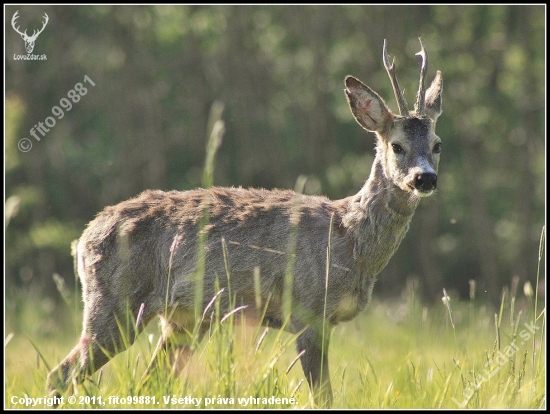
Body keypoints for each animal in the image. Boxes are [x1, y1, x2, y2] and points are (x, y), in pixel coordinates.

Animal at [46, 38, 444, 408]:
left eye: (438, 144)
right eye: (396, 145)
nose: (425, 178)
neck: (350, 240)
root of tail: (85, 237)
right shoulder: (308, 310)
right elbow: (323, 396)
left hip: (182, 319)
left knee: (148, 381)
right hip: (114, 302)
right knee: (61, 373)